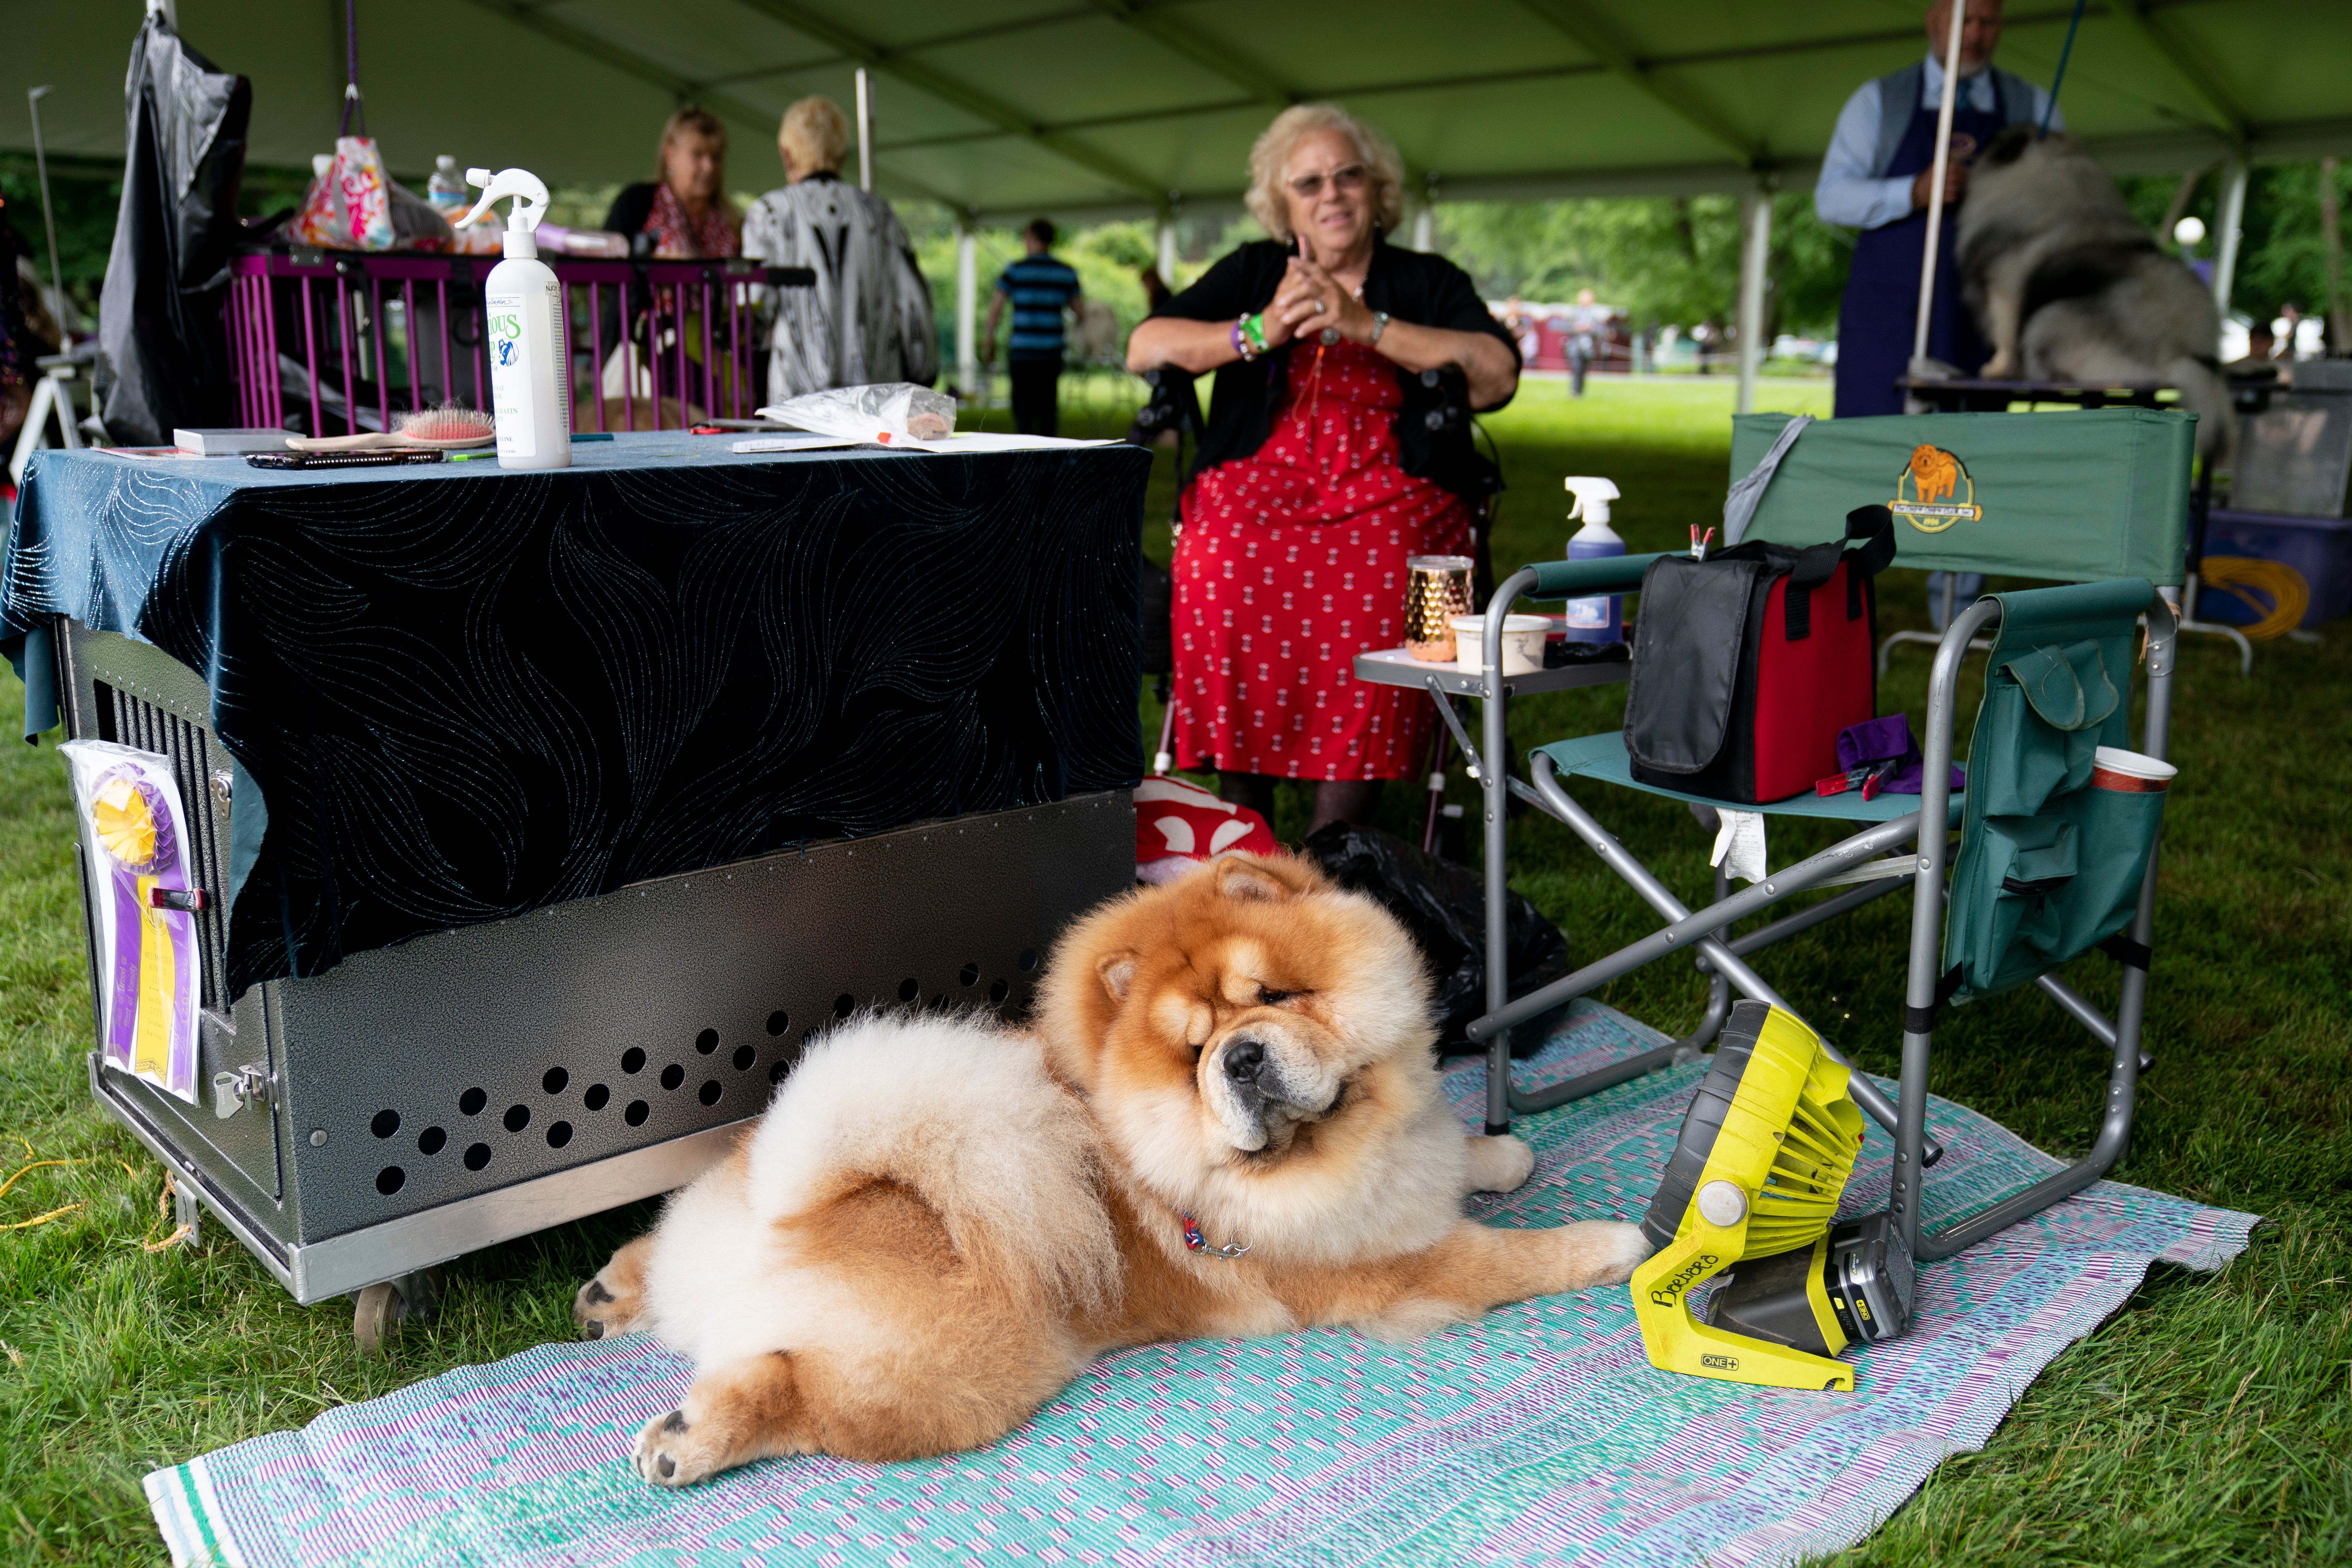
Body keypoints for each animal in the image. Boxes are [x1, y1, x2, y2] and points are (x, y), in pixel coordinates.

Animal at [583, 851, 1656, 1495]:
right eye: (1192, 1054)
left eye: (1273, 997)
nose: (1240, 1058)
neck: (1342, 1136)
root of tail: (801, 1202)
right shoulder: (1390, 1270)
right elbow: (1508, 1258)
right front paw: (1610, 1241)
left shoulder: (1406, 1161)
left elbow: (1457, 1151)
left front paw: (1502, 1150)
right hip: (952, 1375)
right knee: (795, 1391)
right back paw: (683, 1439)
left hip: (731, 1217)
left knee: (661, 1251)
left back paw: (607, 1298)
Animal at [1957, 128, 2229, 461]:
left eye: (2006, 140)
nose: (1993, 135)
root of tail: (2181, 350)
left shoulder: (2004, 293)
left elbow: (2004, 338)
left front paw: (1995, 370)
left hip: (2047, 321)